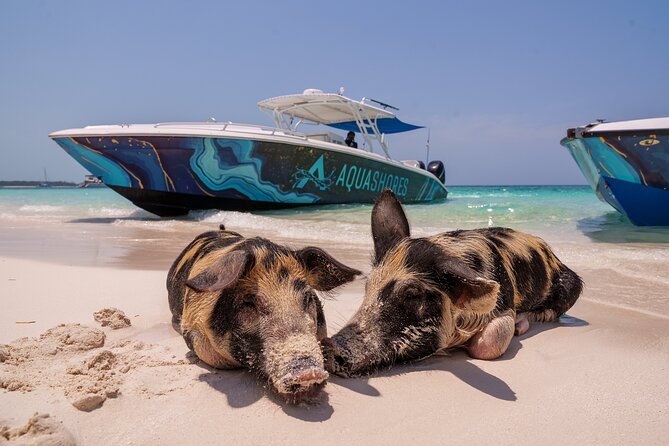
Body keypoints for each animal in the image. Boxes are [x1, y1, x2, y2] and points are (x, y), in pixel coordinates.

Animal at [323, 190, 583, 377]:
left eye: (412, 294)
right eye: (368, 287)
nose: (332, 345)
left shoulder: (505, 302)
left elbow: (488, 344)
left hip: (572, 283)